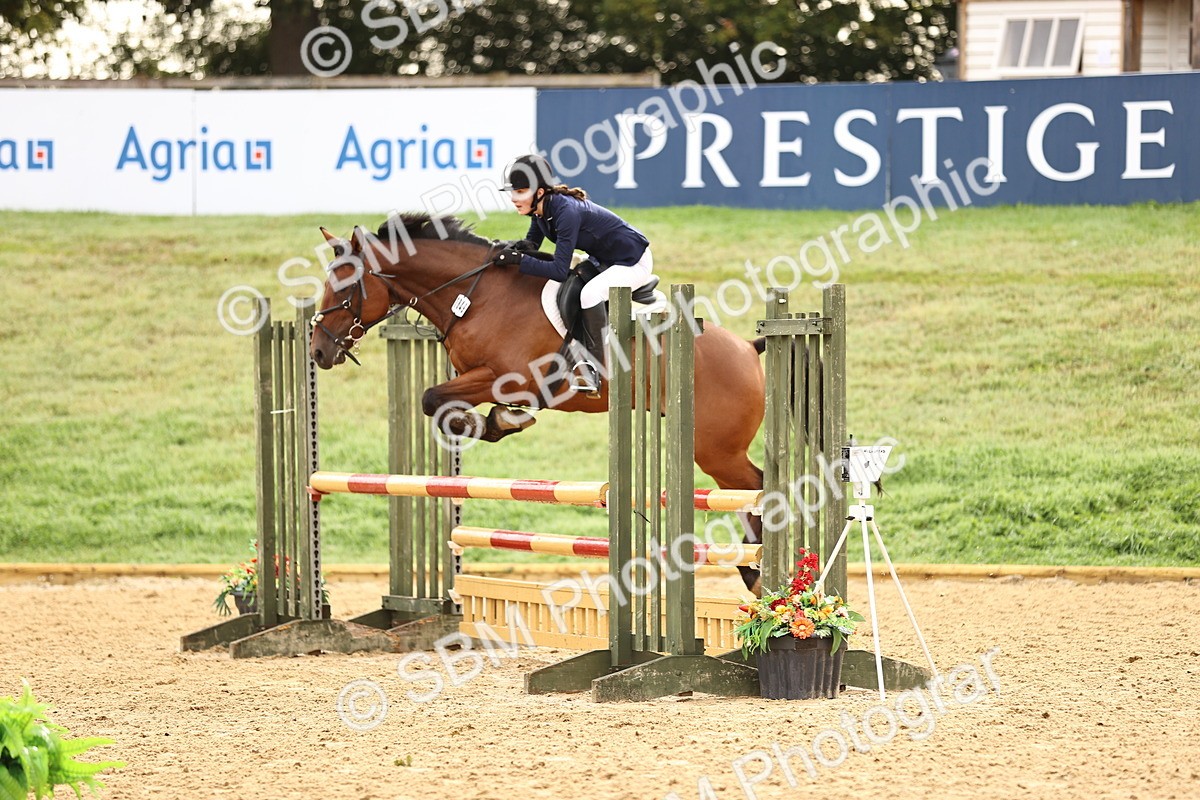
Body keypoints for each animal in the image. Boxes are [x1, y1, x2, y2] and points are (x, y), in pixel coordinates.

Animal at [308, 213, 767, 594]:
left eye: (345, 287)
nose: (318, 351)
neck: (475, 295)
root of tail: (747, 346)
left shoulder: (511, 380)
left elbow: (432, 398)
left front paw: (498, 422)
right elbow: (437, 403)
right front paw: (493, 423)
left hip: (717, 449)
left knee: (756, 487)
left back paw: (759, 571)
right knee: (746, 494)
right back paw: (753, 571)